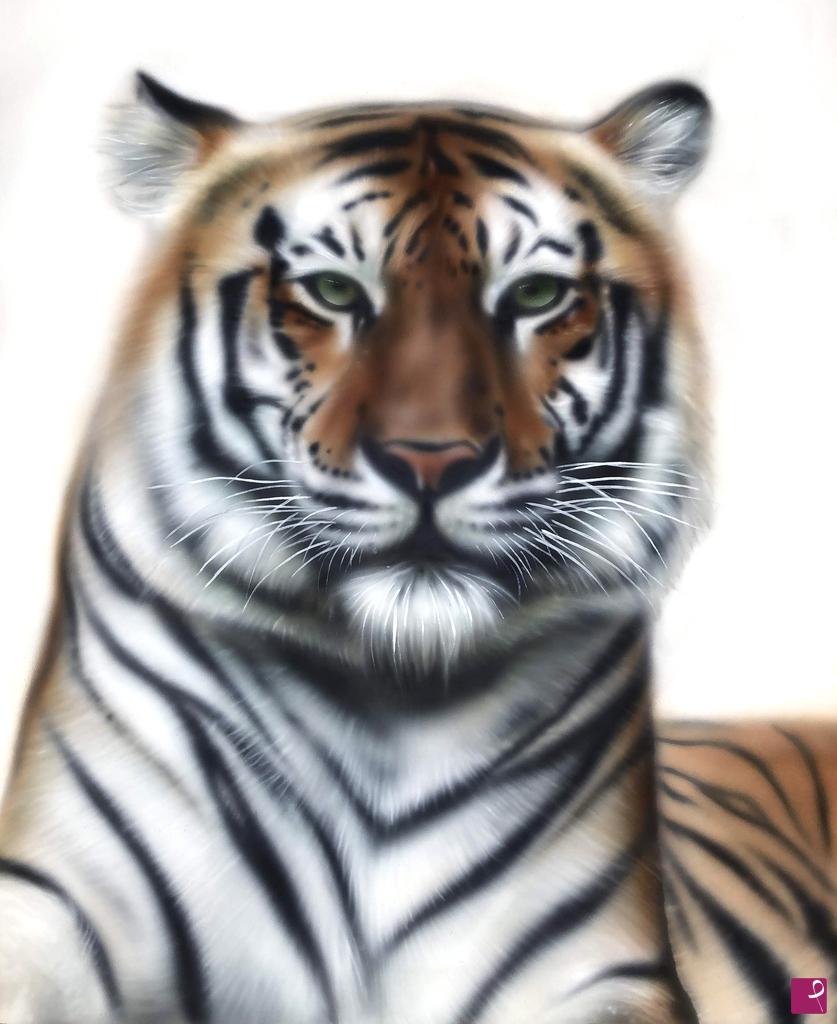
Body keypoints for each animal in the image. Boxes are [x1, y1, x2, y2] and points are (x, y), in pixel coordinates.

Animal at [0, 70, 834, 1024]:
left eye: (535, 297)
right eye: (331, 290)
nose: (430, 459)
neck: (387, 701)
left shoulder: (601, 967)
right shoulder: (53, 906)